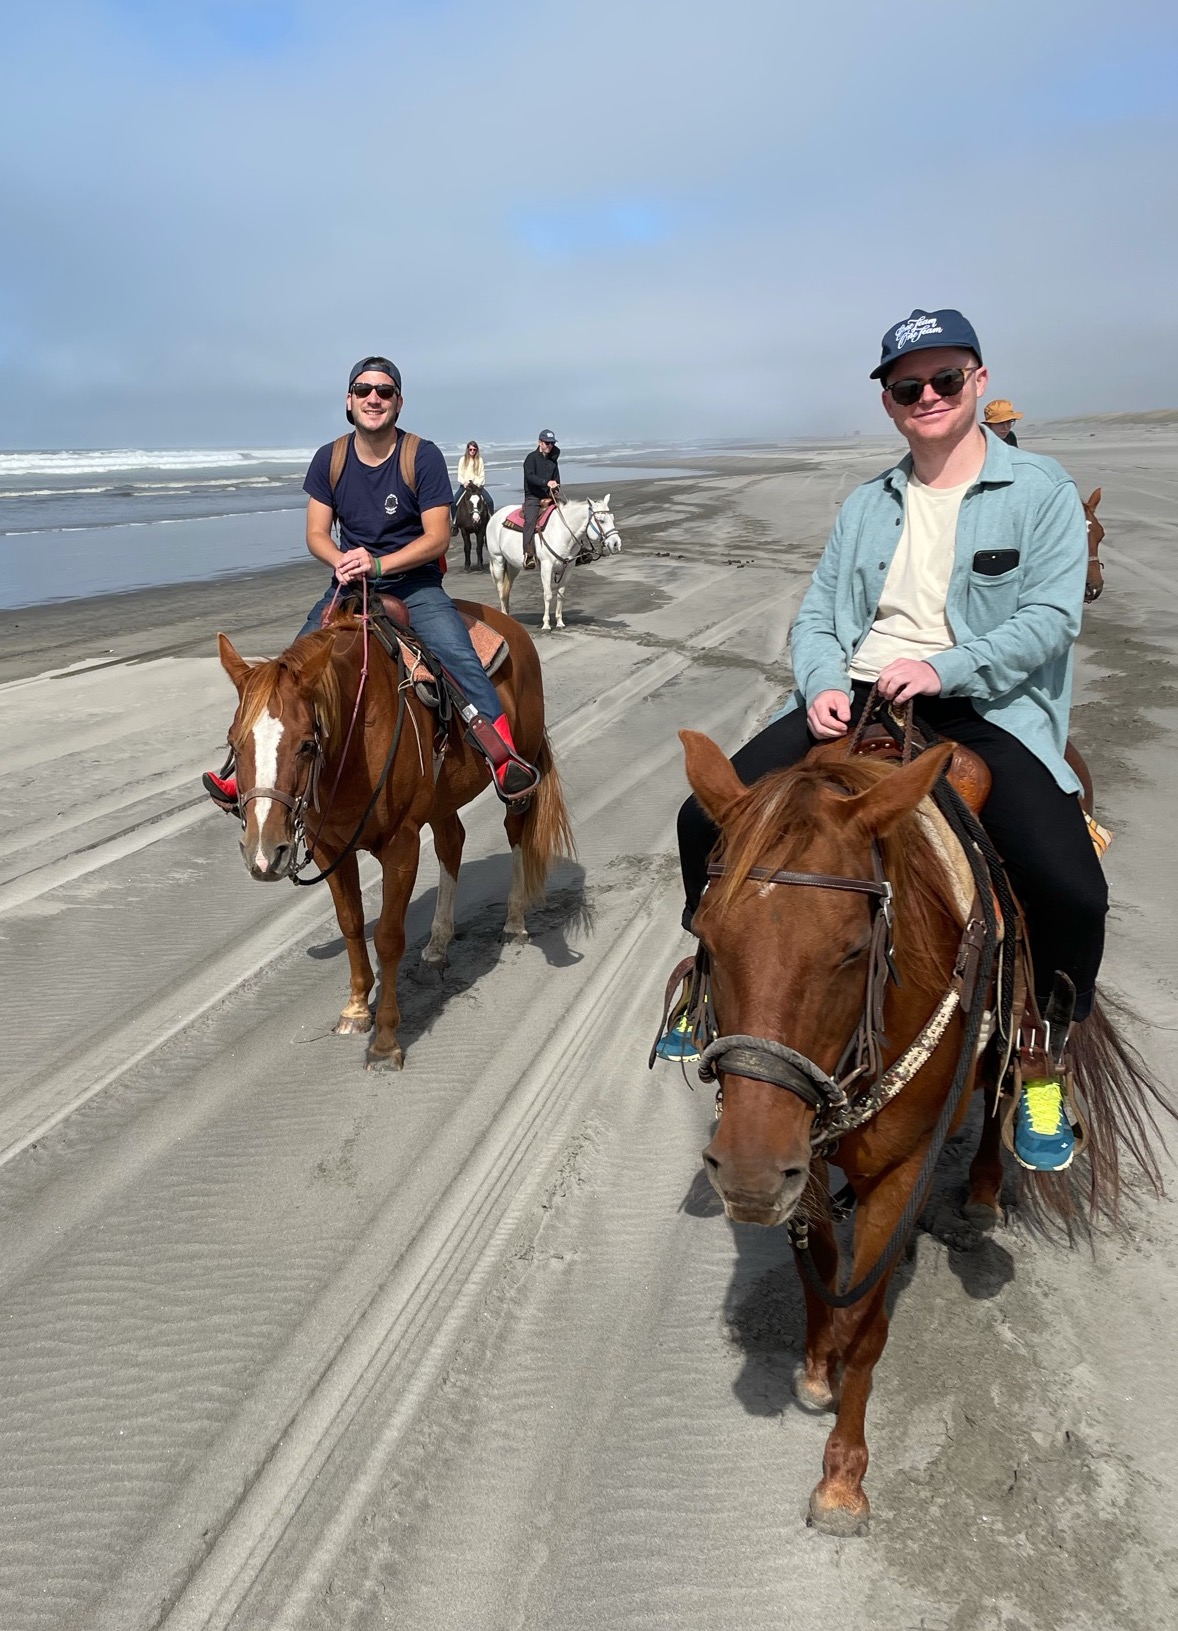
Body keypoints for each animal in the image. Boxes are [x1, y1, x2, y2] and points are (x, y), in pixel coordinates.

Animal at [218, 603, 574, 1069]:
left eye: (307, 745)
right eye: (233, 743)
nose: (264, 853)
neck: (356, 739)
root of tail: (512, 626)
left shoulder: (401, 844)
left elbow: (388, 937)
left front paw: (386, 1041)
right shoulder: (330, 847)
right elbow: (351, 923)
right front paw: (355, 1009)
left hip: (519, 775)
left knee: (514, 833)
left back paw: (515, 921)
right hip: (442, 799)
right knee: (452, 844)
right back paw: (439, 943)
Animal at [482, 489, 620, 629]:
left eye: (612, 518)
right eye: (601, 520)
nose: (616, 544)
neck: (562, 531)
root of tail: (495, 516)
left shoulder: (568, 568)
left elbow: (561, 593)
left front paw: (559, 622)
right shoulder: (546, 567)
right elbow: (548, 595)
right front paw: (546, 624)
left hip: (513, 565)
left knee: (507, 589)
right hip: (497, 560)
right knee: (501, 589)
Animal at [678, 733, 1168, 1533]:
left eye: (853, 948)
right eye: (707, 935)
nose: (747, 1174)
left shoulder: (896, 1170)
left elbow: (869, 1323)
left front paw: (842, 1477)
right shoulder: (803, 1156)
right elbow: (820, 1267)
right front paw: (816, 1369)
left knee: (1007, 1076)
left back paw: (984, 1193)